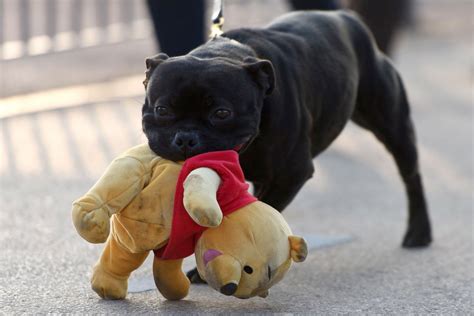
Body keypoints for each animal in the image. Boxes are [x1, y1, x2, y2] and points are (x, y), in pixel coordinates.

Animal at [141, 11, 430, 268]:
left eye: (221, 113)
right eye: (162, 110)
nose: (186, 139)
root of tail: (346, 18)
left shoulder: (291, 174)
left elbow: (260, 210)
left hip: (393, 124)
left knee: (411, 176)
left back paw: (419, 232)